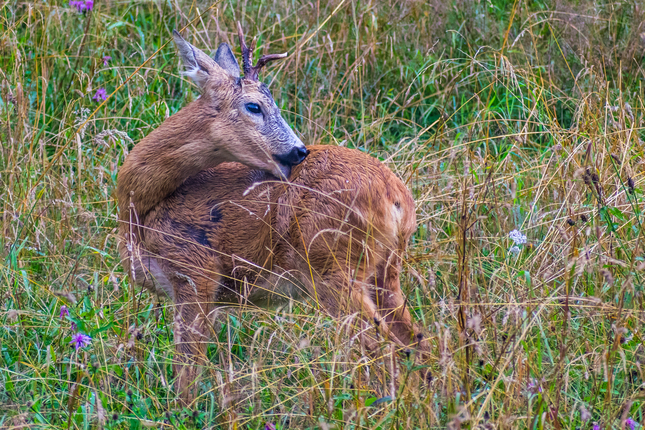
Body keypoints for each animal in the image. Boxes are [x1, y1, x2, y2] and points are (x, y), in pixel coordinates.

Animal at [117, 26, 428, 404]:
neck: (140, 210)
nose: (298, 151)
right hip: (385, 270)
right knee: (418, 342)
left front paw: (181, 410)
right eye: (254, 106)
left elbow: (187, 370)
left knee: (381, 346)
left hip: (331, 265)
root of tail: (396, 197)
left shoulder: (196, 273)